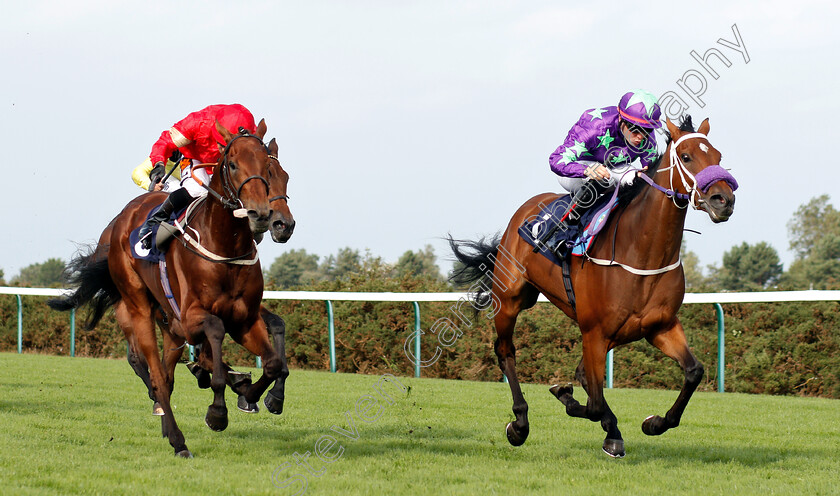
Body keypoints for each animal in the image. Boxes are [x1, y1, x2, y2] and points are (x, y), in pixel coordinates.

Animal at [50, 119, 286, 458]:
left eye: (269, 168)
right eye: (232, 164)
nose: (265, 216)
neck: (225, 246)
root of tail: (121, 219)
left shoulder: (244, 320)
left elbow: (272, 361)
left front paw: (254, 394)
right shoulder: (190, 318)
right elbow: (214, 337)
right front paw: (218, 412)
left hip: (169, 327)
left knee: (168, 374)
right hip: (137, 307)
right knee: (156, 375)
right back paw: (177, 439)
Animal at [452, 116, 736, 458]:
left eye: (718, 156)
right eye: (687, 157)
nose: (724, 200)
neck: (641, 252)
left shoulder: (660, 325)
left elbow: (693, 372)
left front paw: (654, 423)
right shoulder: (595, 331)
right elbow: (595, 403)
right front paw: (571, 400)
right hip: (510, 301)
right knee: (506, 351)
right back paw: (520, 424)